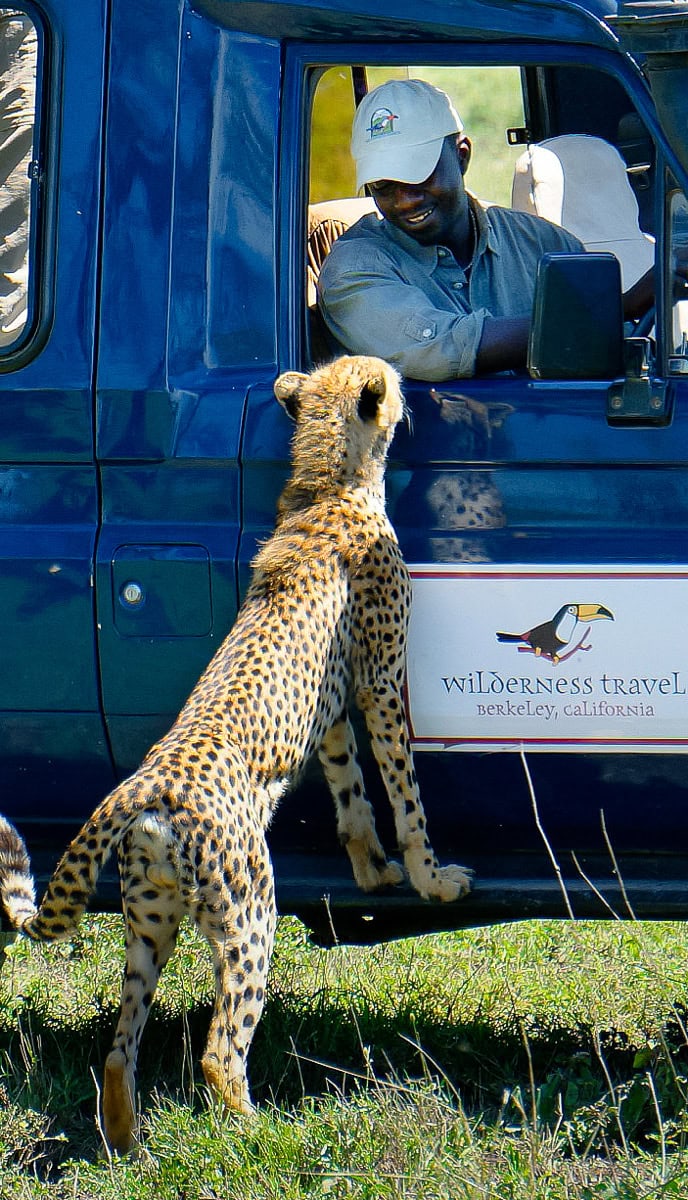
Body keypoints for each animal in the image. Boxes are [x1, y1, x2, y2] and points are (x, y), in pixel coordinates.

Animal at [0, 352, 470, 1152]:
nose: (409, 391)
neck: (328, 484)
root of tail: (145, 787)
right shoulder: (379, 682)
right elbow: (403, 793)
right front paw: (430, 878)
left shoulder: (331, 708)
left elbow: (350, 792)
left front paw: (371, 871)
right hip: (250, 905)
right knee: (220, 1046)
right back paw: (262, 1132)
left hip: (149, 917)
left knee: (120, 1044)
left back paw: (128, 1148)